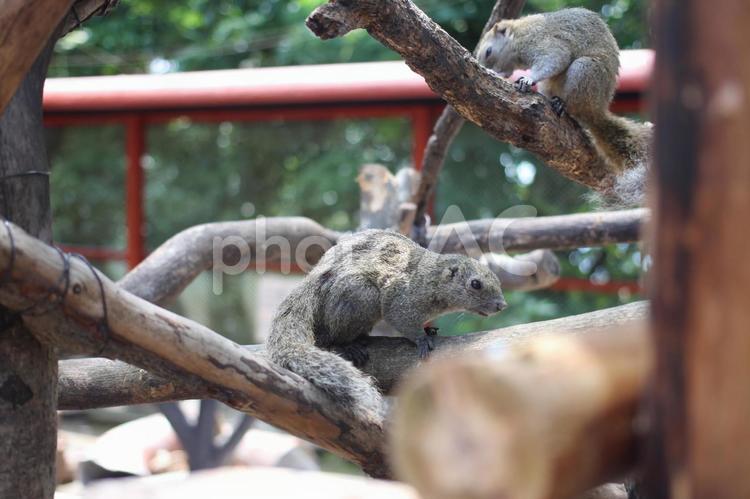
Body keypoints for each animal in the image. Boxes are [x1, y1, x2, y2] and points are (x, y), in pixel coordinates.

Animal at [268, 230, 508, 422]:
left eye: (497, 280)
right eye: (475, 284)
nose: (502, 305)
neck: (430, 279)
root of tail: (312, 282)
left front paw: (428, 330)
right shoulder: (399, 298)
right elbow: (402, 321)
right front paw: (422, 339)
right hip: (361, 294)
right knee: (328, 337)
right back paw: (348, 346)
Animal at [482, 6, 652, 205]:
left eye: (488, 51)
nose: (492, 70)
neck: (518, 33)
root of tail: (596, 111)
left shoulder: (539, 39)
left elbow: (555, 57)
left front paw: (528, 79)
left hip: (585, 71)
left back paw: (562, 105)